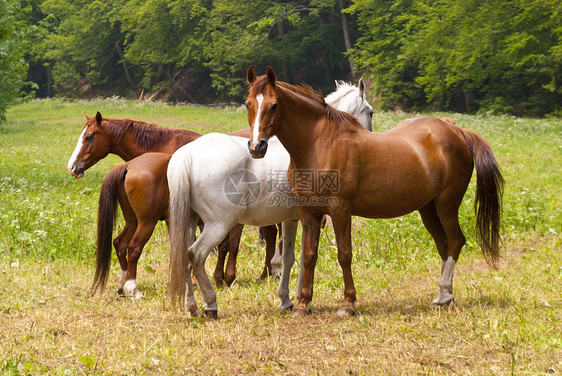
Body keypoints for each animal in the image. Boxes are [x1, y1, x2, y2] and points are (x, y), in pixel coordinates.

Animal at [165, 80, 372, 318]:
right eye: (370, 111)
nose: (368, 138)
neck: (314, 143)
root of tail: (186, 154)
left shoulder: (292, 219)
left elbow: (290, 257)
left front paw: (288, 300)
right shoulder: (310, 218)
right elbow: (303, 257)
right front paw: (300, 300)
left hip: (189, 222)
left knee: (184, 258)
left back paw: (193, 308)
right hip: (218, 225)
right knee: (195, 256)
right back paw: (211, 303)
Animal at [245, 66, 504, 316]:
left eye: (274, 105)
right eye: (248, 104)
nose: (257, 146)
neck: (320, 144)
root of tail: (458, 132)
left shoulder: (340, 211)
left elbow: (344, 254)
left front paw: (347, 304)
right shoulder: (308, 213)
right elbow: (308, 256)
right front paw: (302, 304)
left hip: (446, 205)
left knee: (456, 241)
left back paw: (445, 291)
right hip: (428, 209)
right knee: (444, 244)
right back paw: (444, 296)